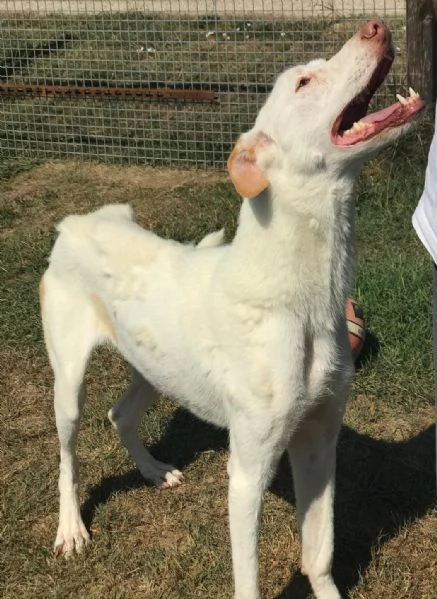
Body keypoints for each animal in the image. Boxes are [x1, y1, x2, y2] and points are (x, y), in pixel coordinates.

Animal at [41, 21, 422, 599]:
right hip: (69, 383)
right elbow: (249, 579)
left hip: (155, 369)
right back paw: (71, 528)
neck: (304, 298)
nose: (375, 26)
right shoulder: (247, 472)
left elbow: (319, 553)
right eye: (304, 82)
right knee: (67, 453)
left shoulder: (319, 441)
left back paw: (152, 470)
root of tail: (76, 221)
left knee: (120, 414)